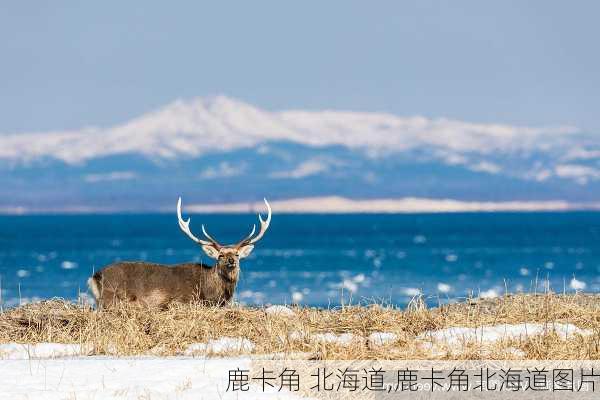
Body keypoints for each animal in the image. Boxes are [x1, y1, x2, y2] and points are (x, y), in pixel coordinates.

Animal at [87, 198, 272, 308]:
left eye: (237, 254)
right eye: (220, 255)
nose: (231, 261)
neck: (212, 292)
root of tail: (95, 276)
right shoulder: (183, 300)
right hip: (112, 297)